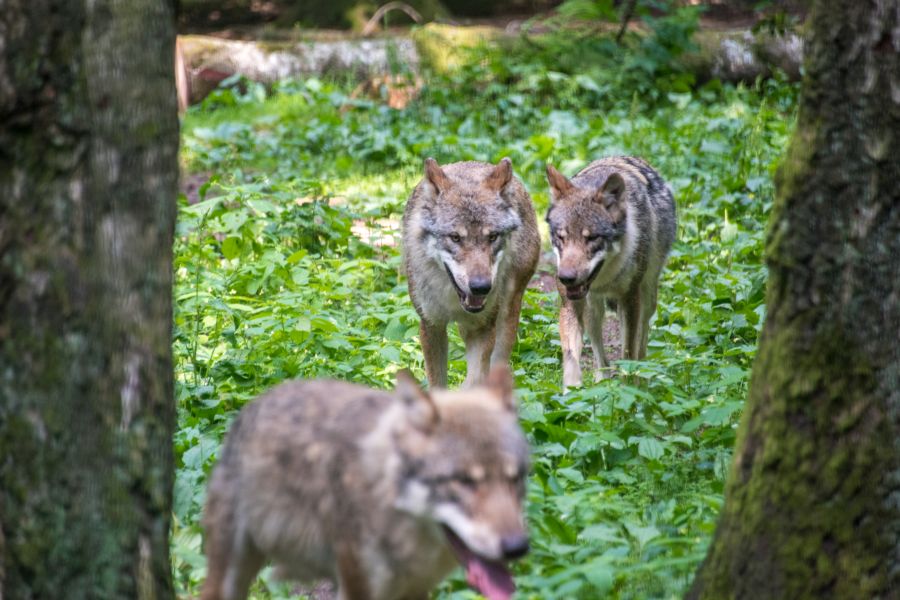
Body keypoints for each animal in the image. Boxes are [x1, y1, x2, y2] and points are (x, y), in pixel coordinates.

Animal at [200, 366, 532, 600]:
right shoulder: (358, 588)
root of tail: (256, 403)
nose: (517, 547)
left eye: (515, 478)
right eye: (463, 481)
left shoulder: (417, 590)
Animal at [402, 157, 540, 390]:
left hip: (507, 310)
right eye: (455, 237)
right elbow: (436, 383)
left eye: (492, 237)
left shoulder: (484, 327)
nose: (481, 287)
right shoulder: (431, 326)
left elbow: (476, 378)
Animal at [540, 157, 676, 386]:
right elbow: (571, 357)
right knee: (600, 356)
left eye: (591, 238)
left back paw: (642, 382)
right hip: (593, 311)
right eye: (561, 237)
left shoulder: (630, 299)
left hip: (647, 299)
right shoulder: (570, 304)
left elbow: (629, 353)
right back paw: (601, 381)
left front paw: (629, 388)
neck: (605, 278)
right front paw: (572, 392)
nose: (566, 278)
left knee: (641, 344)